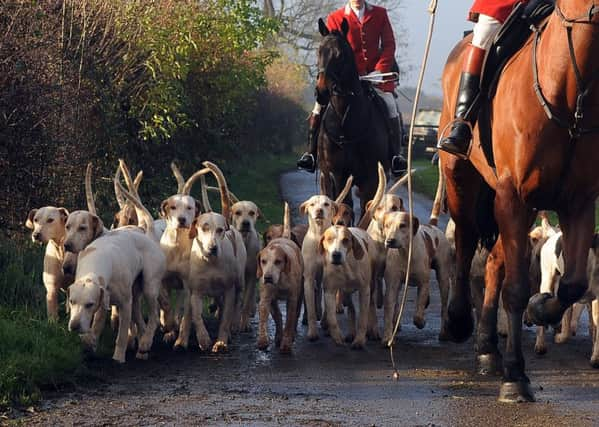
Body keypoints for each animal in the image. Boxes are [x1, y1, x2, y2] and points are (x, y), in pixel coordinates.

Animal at [316, 18, 392, 216]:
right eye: (319, 51)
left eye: (340, 55)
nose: (322, 92)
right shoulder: (336, 173)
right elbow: (343, 205)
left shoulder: (371, 177)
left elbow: (366, 206)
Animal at [438, 0, 599, 402]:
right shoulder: (514, 196)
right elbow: (515, 288)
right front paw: (515, 376)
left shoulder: (578, 201)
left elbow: (572, 284)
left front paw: (541, 310)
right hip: (461, 178)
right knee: (465, 240)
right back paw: (459, 320)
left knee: (495, 262)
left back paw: (487, 349)